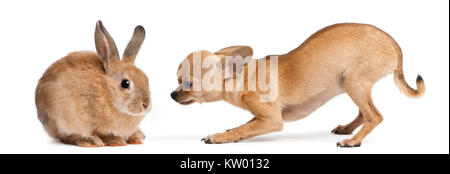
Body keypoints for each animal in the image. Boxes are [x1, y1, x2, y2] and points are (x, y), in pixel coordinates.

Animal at [170, 23, 426, 147]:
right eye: (177, 80)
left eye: (188, 83)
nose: (172, 94)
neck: (243, 77)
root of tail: (393, 43)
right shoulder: (262, 117)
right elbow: (246, 125)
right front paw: (228, 132)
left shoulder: (273, 120)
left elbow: (245, 128)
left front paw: (218, 137)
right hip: (352, 85)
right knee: (364, 113)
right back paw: (347, 129)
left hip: (354, 82)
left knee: (374, 115)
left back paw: (353, 141)